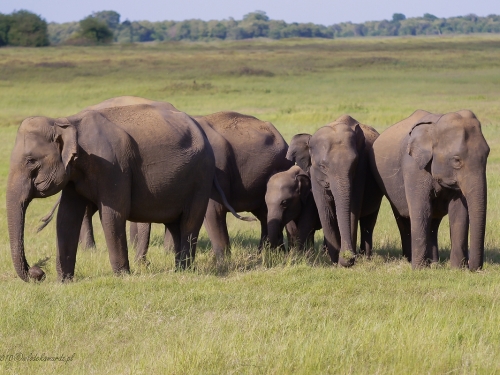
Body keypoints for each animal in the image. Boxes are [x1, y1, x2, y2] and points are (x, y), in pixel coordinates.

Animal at [6, 98, 227, 280]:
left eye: (31, 161)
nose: (38, 272)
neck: (67, 122)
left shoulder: (113, 166)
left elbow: (113, 214)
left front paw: (122, 276)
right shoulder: (73, 174)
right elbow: (66, 218)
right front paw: (64, 281)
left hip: (201, 177)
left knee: (190, 220)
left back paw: (184, 270)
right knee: (174, 224)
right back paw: (178, 270)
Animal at [290, 116, 382, 266]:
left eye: (354, 164)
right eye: (322, 166)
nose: (347, 257)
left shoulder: (360, 171)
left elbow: (352, 210)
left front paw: (343, 261)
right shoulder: (315, 176)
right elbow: (326, 211)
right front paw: (334, 261)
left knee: (368, 222)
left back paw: (366, 258)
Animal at [370, 108, 490, 270]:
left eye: (487, 155)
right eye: (456, 160)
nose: (473, 267)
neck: (435, 128)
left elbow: (458, 211)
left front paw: (457, 269)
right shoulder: (413, 166)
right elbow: (422, 209)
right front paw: (419, 269)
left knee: (433, 220)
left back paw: (433, 263)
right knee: (403, 217)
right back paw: (413, 261)